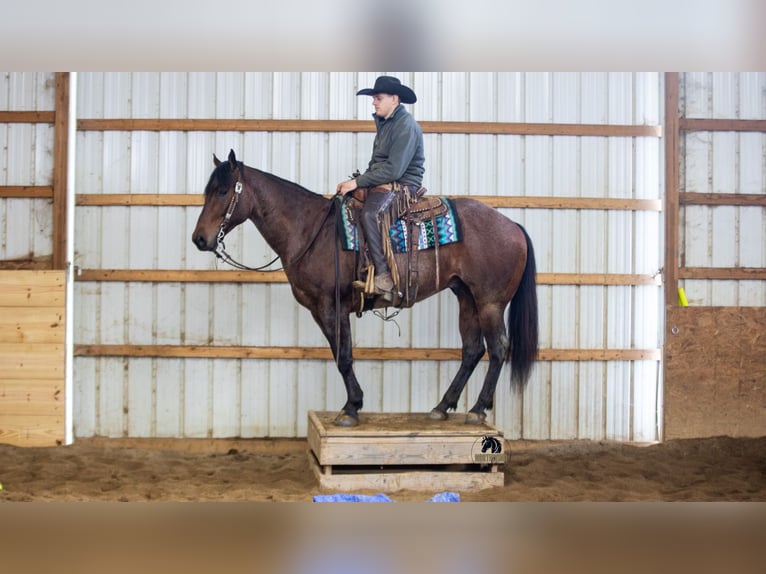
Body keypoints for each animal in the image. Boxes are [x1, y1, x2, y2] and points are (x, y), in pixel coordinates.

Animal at [192, 149, 538, 427]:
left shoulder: (330, 306)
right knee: (472, 350)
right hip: (465, 296)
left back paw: (477, 409)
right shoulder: (325, 310)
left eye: (222, 190)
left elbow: (344, 356)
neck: (310, 229)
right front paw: (353, 403)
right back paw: (442, 407)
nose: (200, 239)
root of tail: (513, 226)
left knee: (498, 349)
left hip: (490, 302)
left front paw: (351, 408)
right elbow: (340, 353)